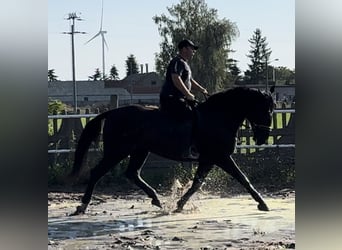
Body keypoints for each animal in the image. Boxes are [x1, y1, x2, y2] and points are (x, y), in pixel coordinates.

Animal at [69, 86, 276, 215]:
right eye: (266, 110)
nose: (262, 139)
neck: (218, 116)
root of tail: (111, 112)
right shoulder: (221, 157)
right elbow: (243, 178)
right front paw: (262, 203)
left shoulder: (208, 159)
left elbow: (196, 184)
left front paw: (179, 205)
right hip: (117, 151)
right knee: (97, 172)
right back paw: (82, 206)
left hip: (139, 151)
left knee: (132, 173)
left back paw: (157, 200)